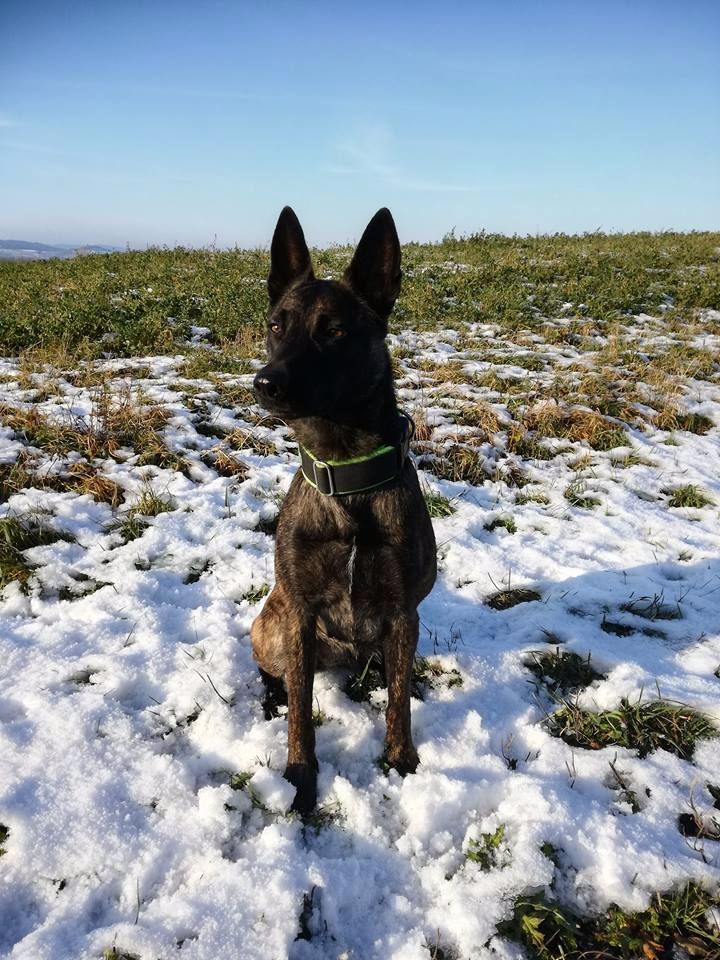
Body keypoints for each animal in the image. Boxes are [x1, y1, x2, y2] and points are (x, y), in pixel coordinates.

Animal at [250, 206, 436, 812]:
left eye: (334, 331)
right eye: (276, 325)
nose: (267, 382)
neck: (347, 476)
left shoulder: (403, 614)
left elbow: (399, 702)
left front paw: (401, 760)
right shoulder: (302, 615)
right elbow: (302, 715)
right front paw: (300, 777)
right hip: (271, 623)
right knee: (279, 673)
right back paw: (271, 695)